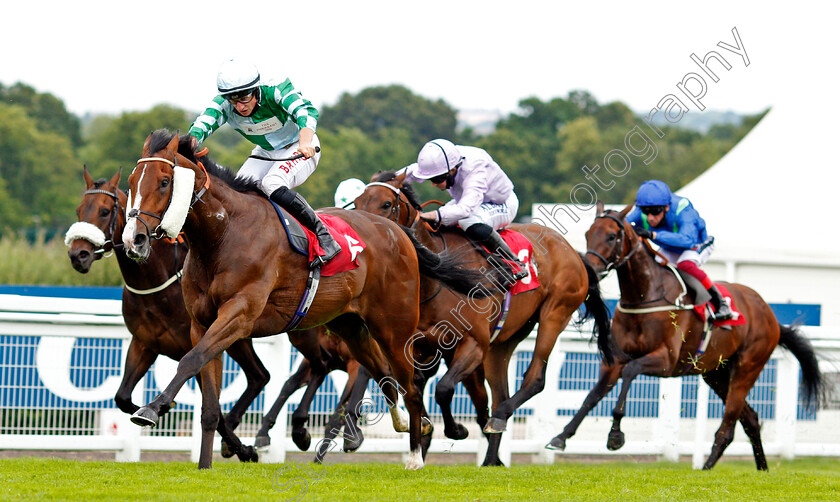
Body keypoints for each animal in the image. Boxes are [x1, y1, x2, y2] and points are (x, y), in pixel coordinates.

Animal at [118, 130, 486, 470]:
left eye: (165, 182)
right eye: (132, 182)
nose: (134, 239)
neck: (223, 235)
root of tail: (400, 232)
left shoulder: (239, 315)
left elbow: (189, 361)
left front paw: (151, 408)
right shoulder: (201, 324)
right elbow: (208, 402)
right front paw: (206, 465)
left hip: (394, 328)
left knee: (410, 385)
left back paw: (414, 455)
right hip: (351, 327)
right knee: (384, 375)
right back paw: (410, 424)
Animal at [350, 171, 612, 464]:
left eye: (386, 204)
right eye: (357, 202)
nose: (363, 233)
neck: (436, 281)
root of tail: (572, 251)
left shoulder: (473, 344)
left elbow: (444, 389)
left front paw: (455, 430)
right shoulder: (421, 348)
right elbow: (418, 388)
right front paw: (427, 435)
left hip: (555, 312)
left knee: (533, 379)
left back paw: (499, 423)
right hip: (503, 342)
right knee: (498, 395)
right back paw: (491, 457)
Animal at [548, 201, 824, 470]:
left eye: (612, 236)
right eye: (588, 234)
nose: (590, 270)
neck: (645, 295)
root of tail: (770, 315)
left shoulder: (666, 360)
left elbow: (630, 372)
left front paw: (615, 435)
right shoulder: (614, 359)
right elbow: (591, 396)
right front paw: (561, 437)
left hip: (747, 368)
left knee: (728, 426)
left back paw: (707, 468)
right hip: (716, 374)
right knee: (751, 419)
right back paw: (761, 468)